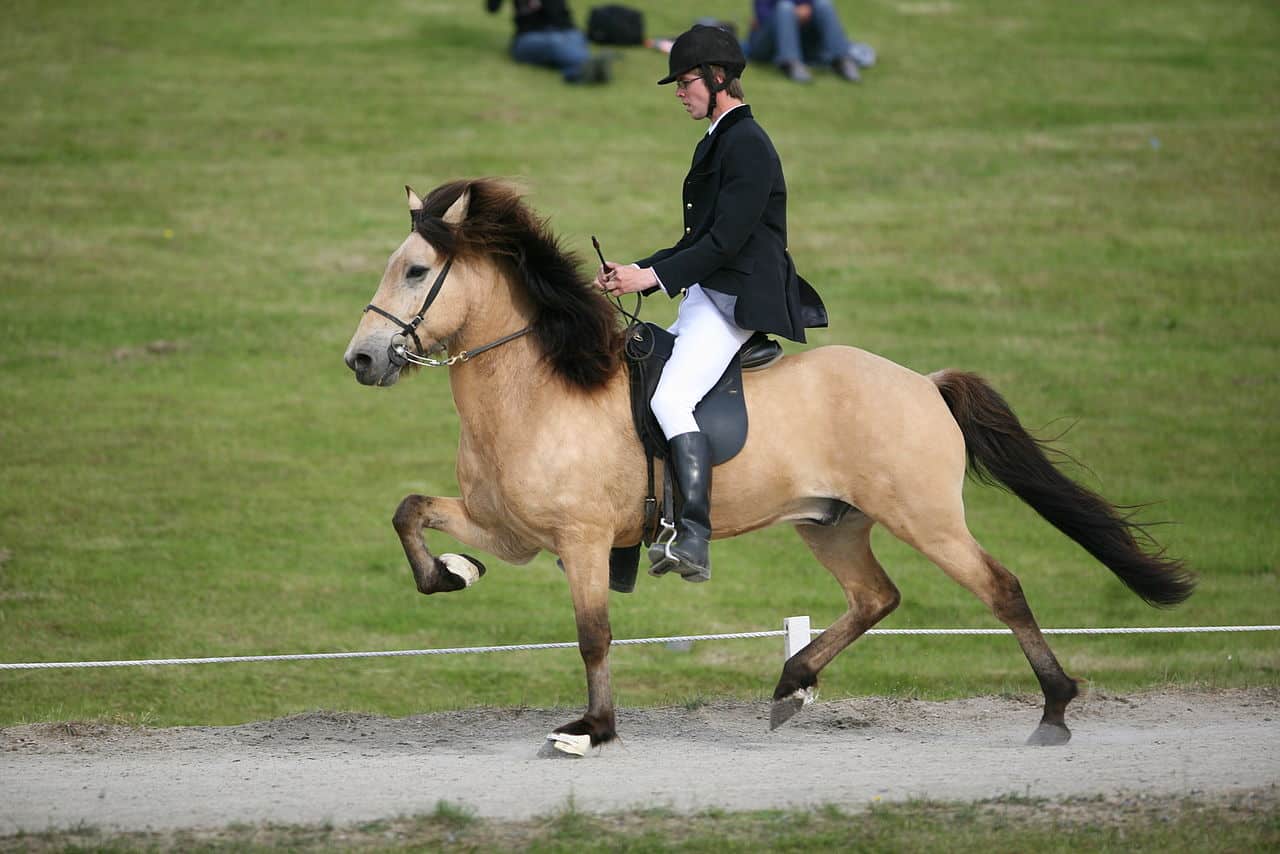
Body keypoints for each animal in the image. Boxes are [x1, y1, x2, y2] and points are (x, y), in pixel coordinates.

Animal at [345, 176, 1192, 757]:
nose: (361, 360)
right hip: (832, 524)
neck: (539, 387)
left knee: (1000, 588)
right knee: (877, 596)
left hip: (925, 518)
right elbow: (409, 511)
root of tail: (924, 383)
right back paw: (793, 685)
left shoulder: (581, 541)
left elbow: (593, 636)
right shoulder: (513, 532)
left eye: (415, 272)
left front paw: (593, 730)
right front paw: (454, 572)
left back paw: (1054, 709)